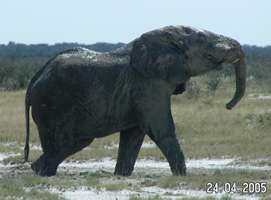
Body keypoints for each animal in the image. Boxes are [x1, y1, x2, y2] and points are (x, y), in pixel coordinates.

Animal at [24, 25, 248, 177]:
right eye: (202, 39)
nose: (227, 105)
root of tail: (35, 78)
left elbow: (134, 134)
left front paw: (121, 176)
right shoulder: (149, 84)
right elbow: (160, 129)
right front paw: (182, 176)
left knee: (73, 142)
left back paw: (38, 170)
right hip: (52, 103)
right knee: (71, 141)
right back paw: (43, 172)